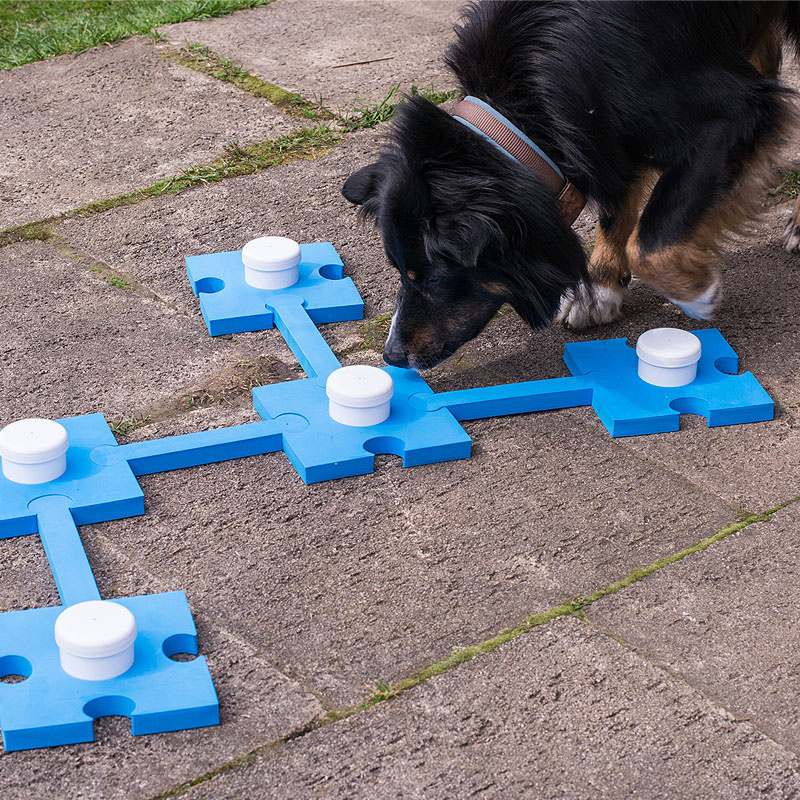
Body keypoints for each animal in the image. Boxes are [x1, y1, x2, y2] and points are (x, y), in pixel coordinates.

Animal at [342, 1, 800, 370]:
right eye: (399, 272)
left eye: (435, 279)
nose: (392, 357)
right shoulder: (598, 125)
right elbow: (617, 200)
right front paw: (598, 288)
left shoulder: (730, 113)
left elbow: (649, 243)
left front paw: (698, 293)